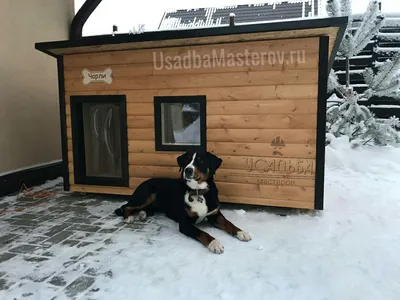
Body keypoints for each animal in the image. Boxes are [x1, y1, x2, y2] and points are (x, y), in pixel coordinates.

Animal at [114, 152, 250, 253]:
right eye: (186, 161)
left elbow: (229, 223)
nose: (188, 170)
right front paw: (214, 243)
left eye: (200, 161)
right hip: (147, 195)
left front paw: (242, 233)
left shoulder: (215, 215)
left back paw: (142, 214)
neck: (198, 192)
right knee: (125, 206)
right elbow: (202, 233)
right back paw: (129, 218)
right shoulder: (185, 223)